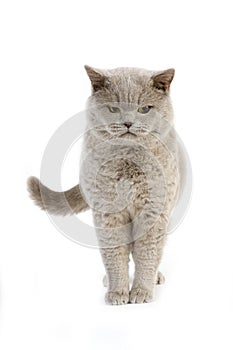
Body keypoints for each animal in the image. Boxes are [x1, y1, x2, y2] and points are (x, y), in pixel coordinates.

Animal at [27, 65, 184, 304]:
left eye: (144, 109)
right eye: (113, 108)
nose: (128, 123)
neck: (128, 162)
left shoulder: (153, 212)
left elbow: (147, 255)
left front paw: (141, 291)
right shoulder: (108, 215)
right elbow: (115, 255)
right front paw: (118, 292)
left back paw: (155, 277)